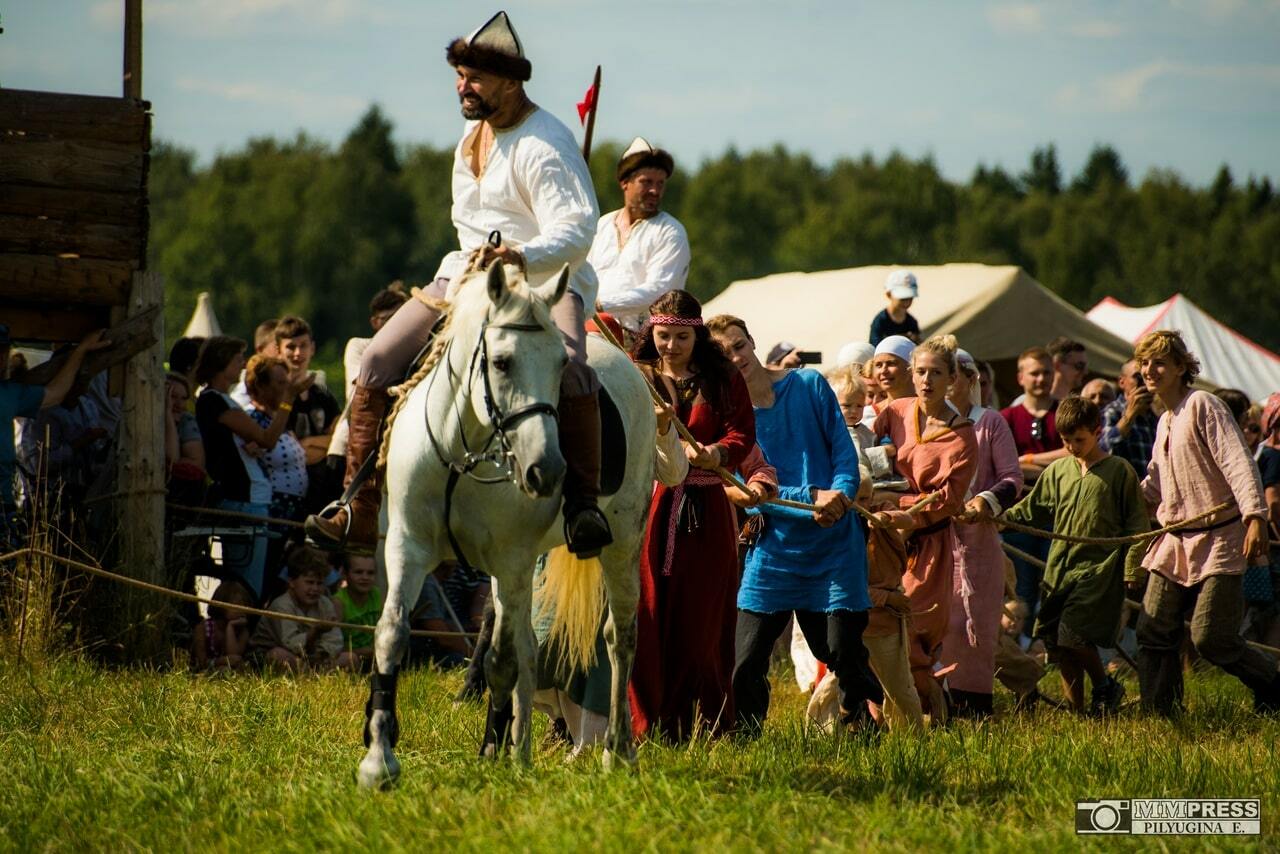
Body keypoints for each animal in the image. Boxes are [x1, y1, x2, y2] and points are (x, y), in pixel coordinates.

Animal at [360, 261, 655, 788]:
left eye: (560, 366)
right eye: (500, 362)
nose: (547, 469)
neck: (462, 453)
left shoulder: (510, 561)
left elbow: (500, 661)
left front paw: (492, 754)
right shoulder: (407, 548)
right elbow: (392, 633)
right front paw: (379, 759)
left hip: (621, 545)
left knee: (619, 637)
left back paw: (618, 752)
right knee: (530, 647)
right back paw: (524, 749)